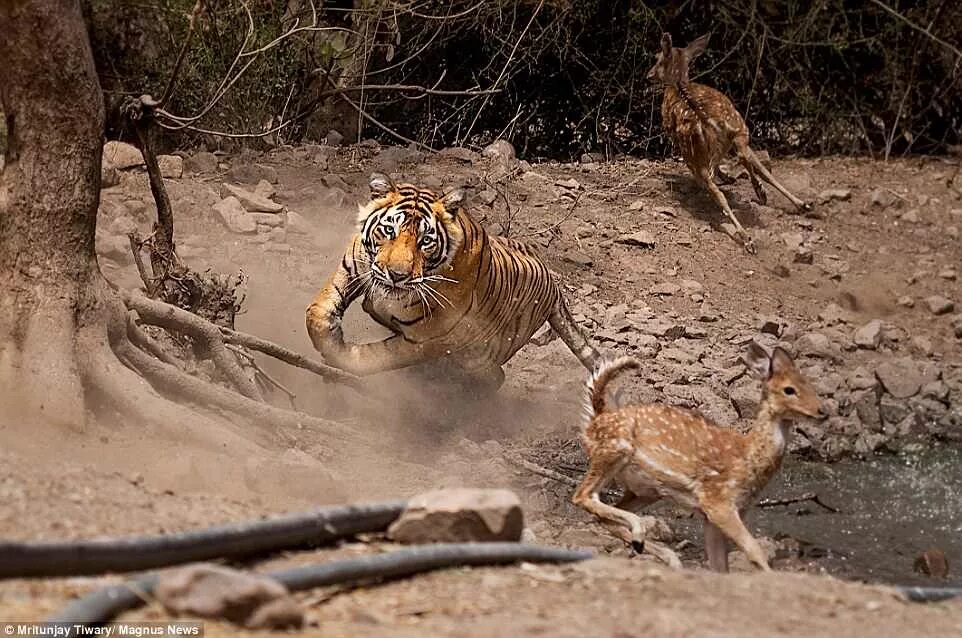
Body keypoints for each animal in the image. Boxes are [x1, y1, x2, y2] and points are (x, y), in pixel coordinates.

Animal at [304, 174, 596, 396]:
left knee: (495, 377)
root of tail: (554, 285)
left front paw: (339, 358)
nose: (396, 275)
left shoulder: (425, 339)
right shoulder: (351, 268)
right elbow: (317, 313)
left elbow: (375, 358)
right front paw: (331, 341)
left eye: (425, 241)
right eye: (389, 231)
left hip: (479, 356)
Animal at [568, 348, 824, 572]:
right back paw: (645, 538)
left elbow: (720, 566)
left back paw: (666, 556)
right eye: (789, 389)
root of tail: (595, 419)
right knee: (582, 496)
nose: (822, 411)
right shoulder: (717, 502)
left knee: (603, 516)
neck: (748, 458)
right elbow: (754, 551)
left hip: (646, 489)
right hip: (614, 450)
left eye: (811, 385)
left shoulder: (719, 514)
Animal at [644, 31, 808, 252]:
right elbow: (757, 168)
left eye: (657, 58)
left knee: (717, 185)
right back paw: (794, 205)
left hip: (697, 150)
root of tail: (706, 119)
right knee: (746, 164)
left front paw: (732, 179)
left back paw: (749, 233)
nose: (649, 75)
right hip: (738, 129)